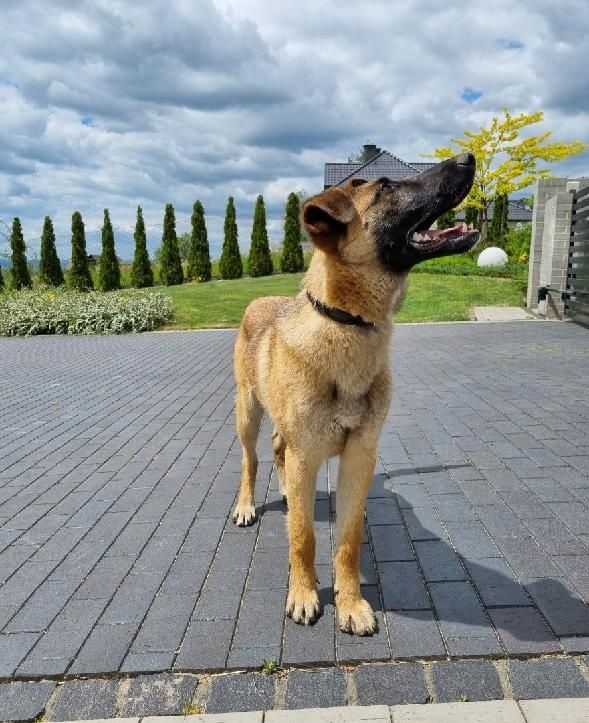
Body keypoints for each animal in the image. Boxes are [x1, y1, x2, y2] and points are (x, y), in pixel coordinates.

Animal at [230, 153, 478, 632]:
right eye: (386, 187)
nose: (467, 158)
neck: (346, 323)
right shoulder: (309, 454)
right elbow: (303, 537)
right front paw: (304, 594)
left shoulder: (360, 456)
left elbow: (347, 538)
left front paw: (350, 602)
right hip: (247, 414)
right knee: (251, 461)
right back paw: (247, 505)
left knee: (279, 450)